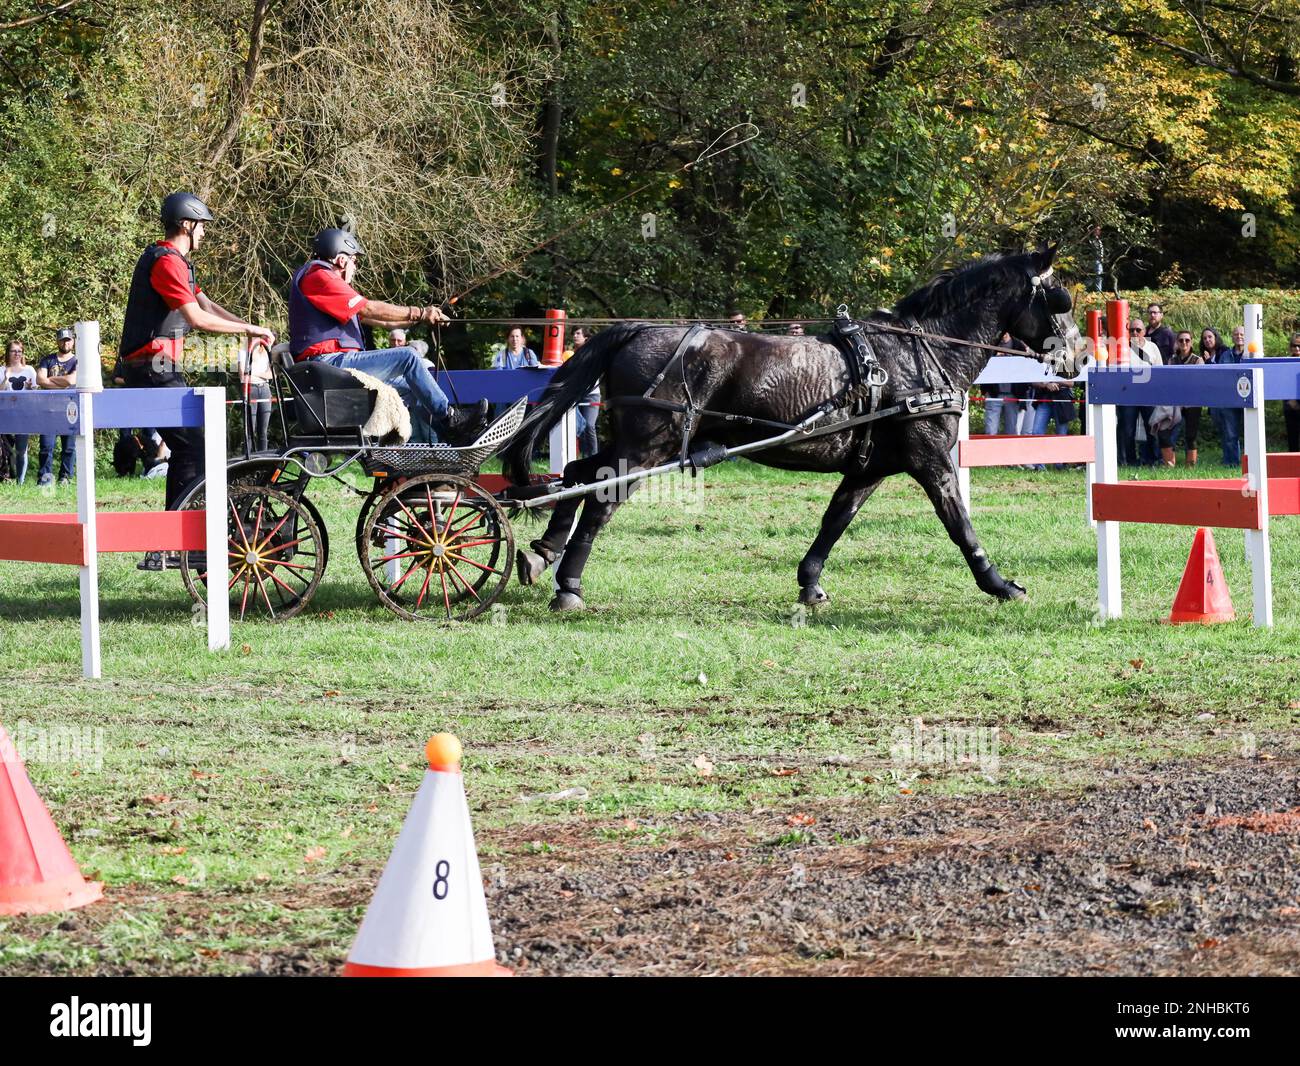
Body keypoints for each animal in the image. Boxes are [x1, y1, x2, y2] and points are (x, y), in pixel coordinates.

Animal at [500, 245, 1080, 612]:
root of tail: (637, 328)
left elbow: (836, 520)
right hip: (648, 448)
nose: (1078, 358)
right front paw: (999, 585)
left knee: (578, 472)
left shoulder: (870, 467)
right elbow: (959, 523)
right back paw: (569, 585)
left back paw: (543, 552)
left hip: (635, 443)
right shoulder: (931, 460)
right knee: (600, 501)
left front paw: (810, 584)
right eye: (1061, 300)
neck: (918, 353)